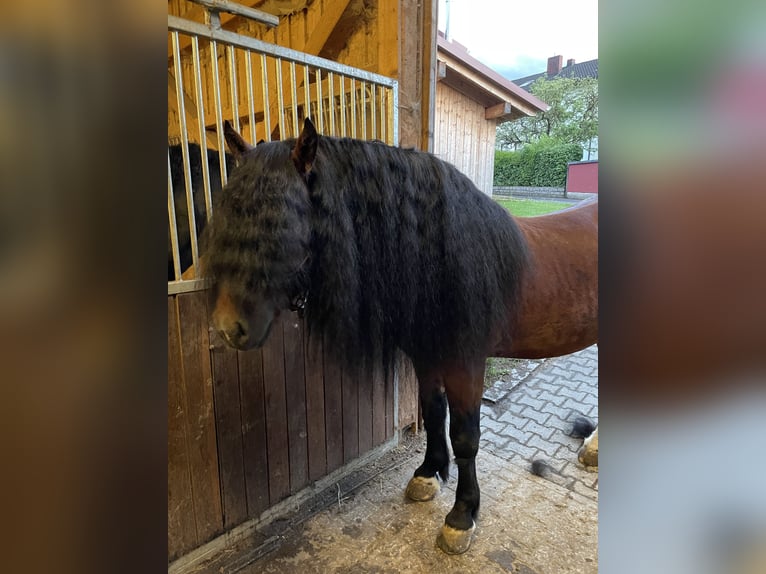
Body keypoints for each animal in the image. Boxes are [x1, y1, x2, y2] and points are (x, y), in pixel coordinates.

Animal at [204, 119, 600, 556]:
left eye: (282, 219)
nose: (227, 328)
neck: (441, 259)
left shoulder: (466, 363)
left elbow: (465, 437)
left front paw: (462, 515)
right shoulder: (426, 354)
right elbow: (433, 413)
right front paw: (428, 474)